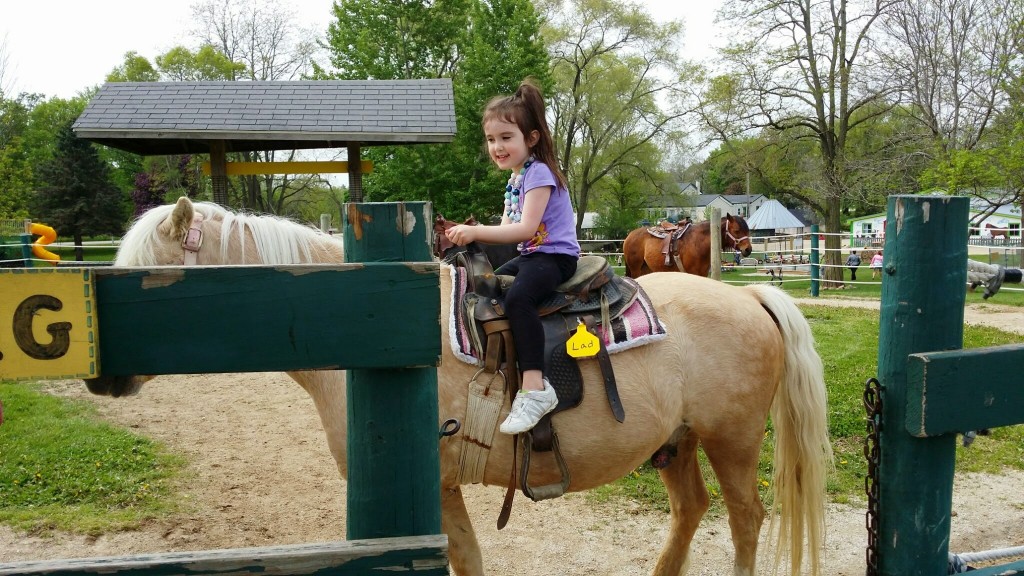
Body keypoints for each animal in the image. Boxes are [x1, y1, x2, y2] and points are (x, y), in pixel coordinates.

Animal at [618, 215, 757, 278]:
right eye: (737, 230)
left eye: (748, 231)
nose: (748, 249)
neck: (698, 243)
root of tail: (629, 236)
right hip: (635, 269)